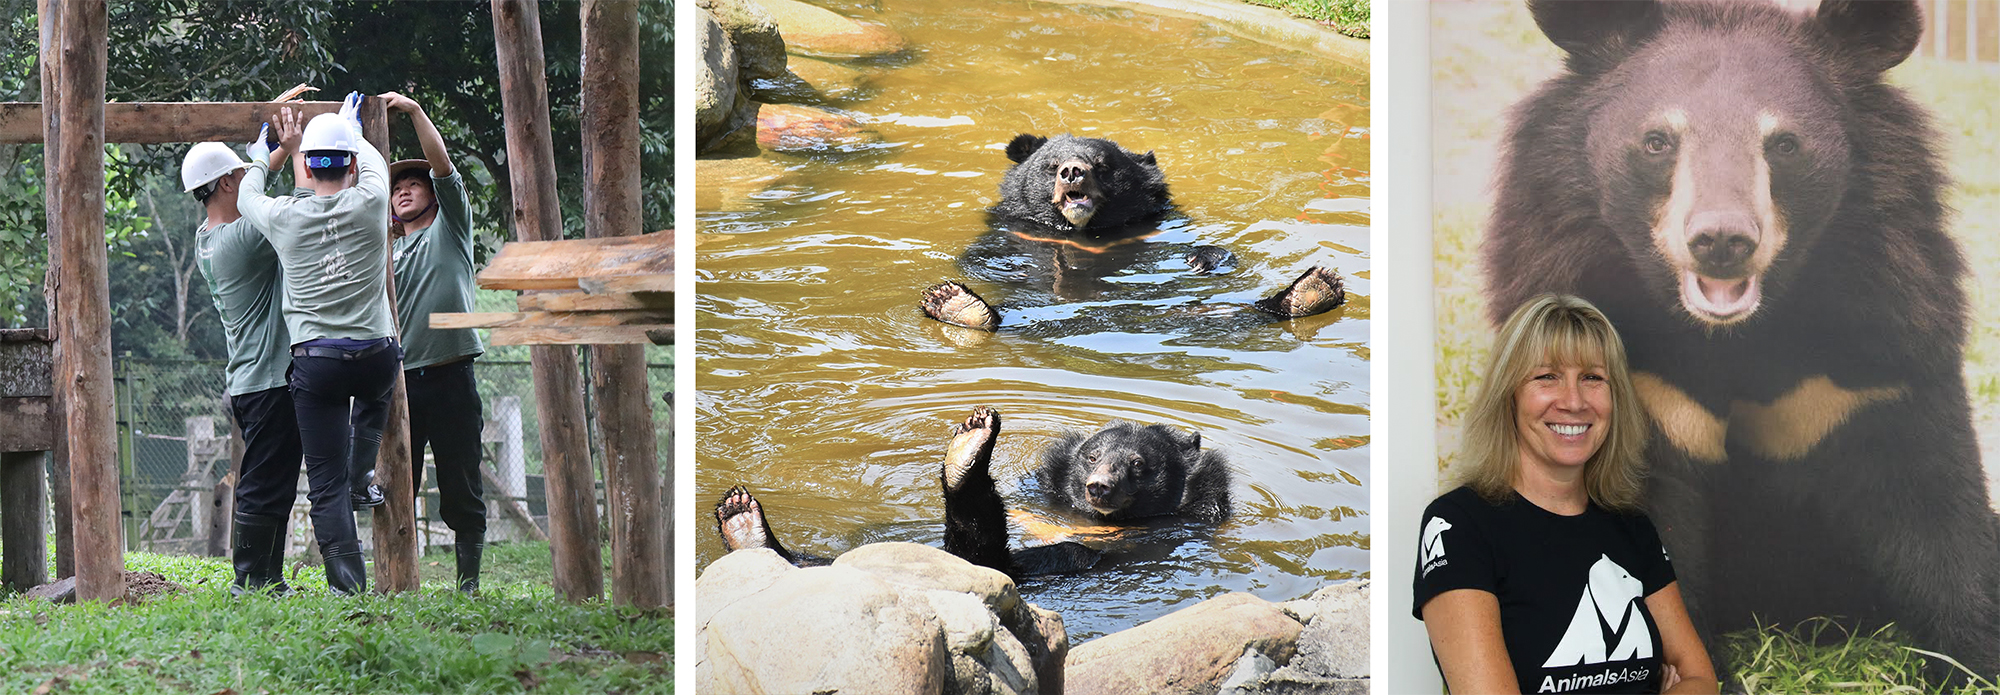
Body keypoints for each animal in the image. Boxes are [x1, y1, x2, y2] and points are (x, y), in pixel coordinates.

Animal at [920, 136, 1344, 333]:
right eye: (1052, 165)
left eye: (1101, 165)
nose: (1072, 173)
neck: (1084, 231)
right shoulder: (1016, 227)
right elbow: (978, 255)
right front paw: (1009, 267)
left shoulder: (1153, 224)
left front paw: (1200, 260)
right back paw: (958, 305)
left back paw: (1310, 292)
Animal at [1480, 0, 2000, 679]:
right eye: (1657, 141)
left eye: (1784, 144)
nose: (1722, 240)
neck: (1737, 336)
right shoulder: (1639, 385)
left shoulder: (1883, 349)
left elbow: (1935, 508)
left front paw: (1971, 664)